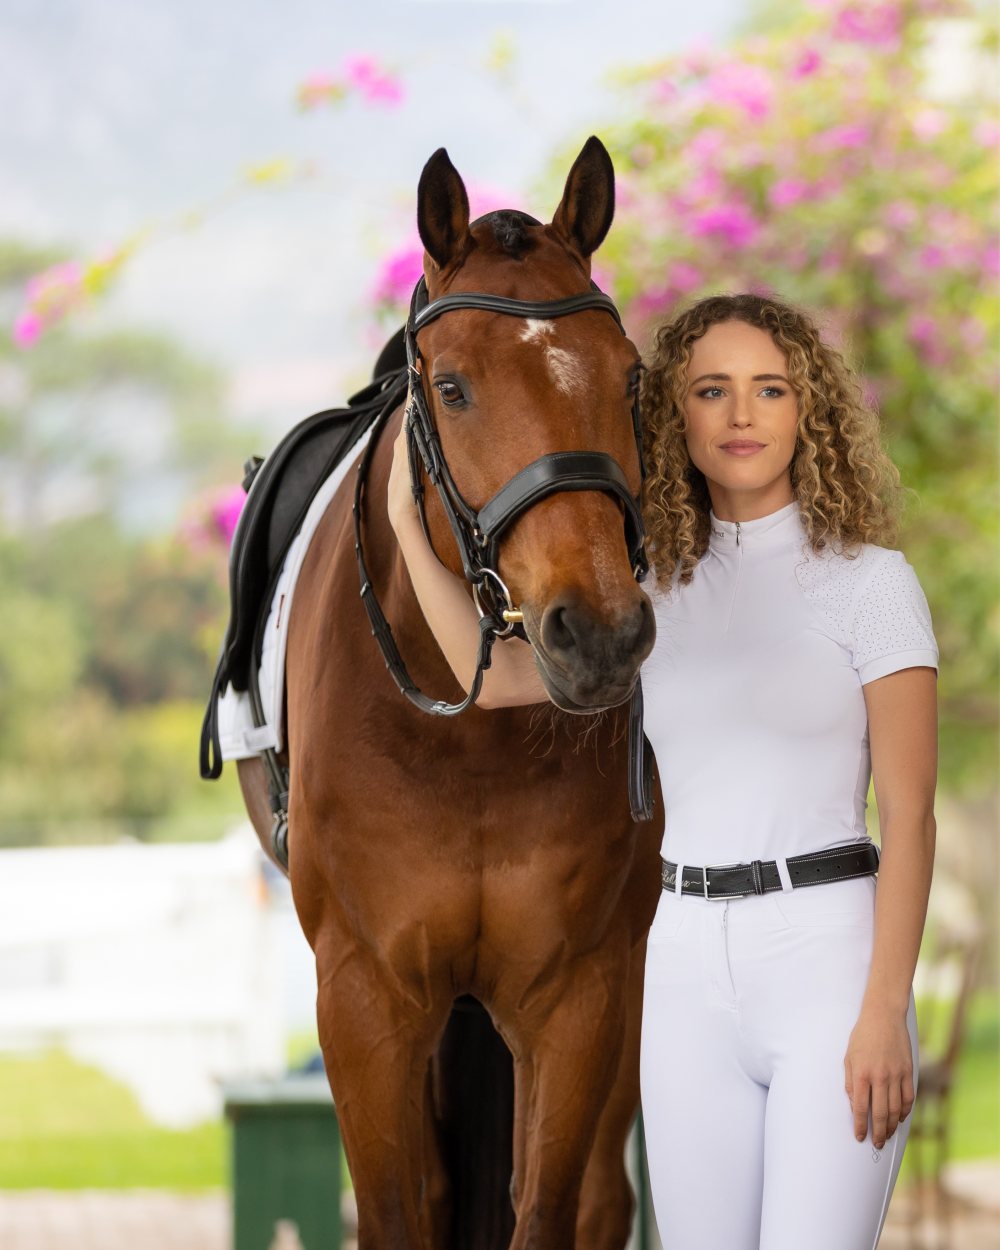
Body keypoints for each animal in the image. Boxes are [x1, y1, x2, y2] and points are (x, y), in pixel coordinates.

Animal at [236, 136, 665, 1250]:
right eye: (457, 388)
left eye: (629, 378)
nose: (598, 634)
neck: (470, 738)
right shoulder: (367, 996)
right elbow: (401, 1209)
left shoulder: (579, 992)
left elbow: (546, 1208)